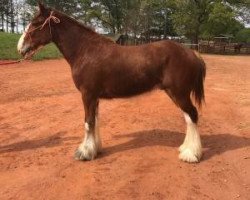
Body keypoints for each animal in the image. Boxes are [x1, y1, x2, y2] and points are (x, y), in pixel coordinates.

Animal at [17, 2, 205, 162]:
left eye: (36, 23)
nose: (20, 48)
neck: (85, 51)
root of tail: (192, 53)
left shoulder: (87, 95)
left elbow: (88, 122)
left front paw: (84, 153)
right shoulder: (94, 97)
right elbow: (95, 120)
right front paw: (95, 149)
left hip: (179, 93)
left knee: (192, 115)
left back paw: (190, 154)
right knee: (188, 117)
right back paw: (185, 149)